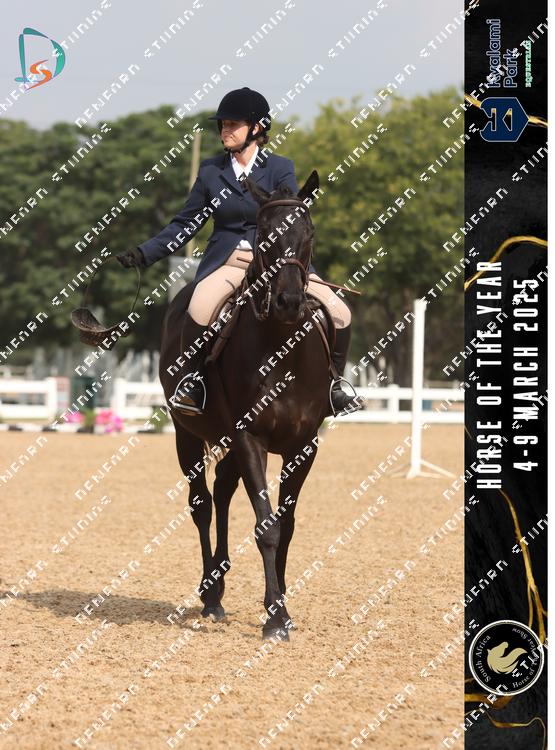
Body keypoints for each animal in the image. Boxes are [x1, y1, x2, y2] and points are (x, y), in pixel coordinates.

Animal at [159, 170, 333, 640]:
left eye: (309, 233)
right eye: (265, 235)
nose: (289, 303)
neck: (282, 346)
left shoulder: (304, 445)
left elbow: (286, 526)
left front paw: (283, 606)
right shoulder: (249, 437)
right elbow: (266, 526)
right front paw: (274, 618)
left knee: (221, 492)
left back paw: (219, 585)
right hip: (187, 435)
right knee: (201, 504)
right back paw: (210, 595)